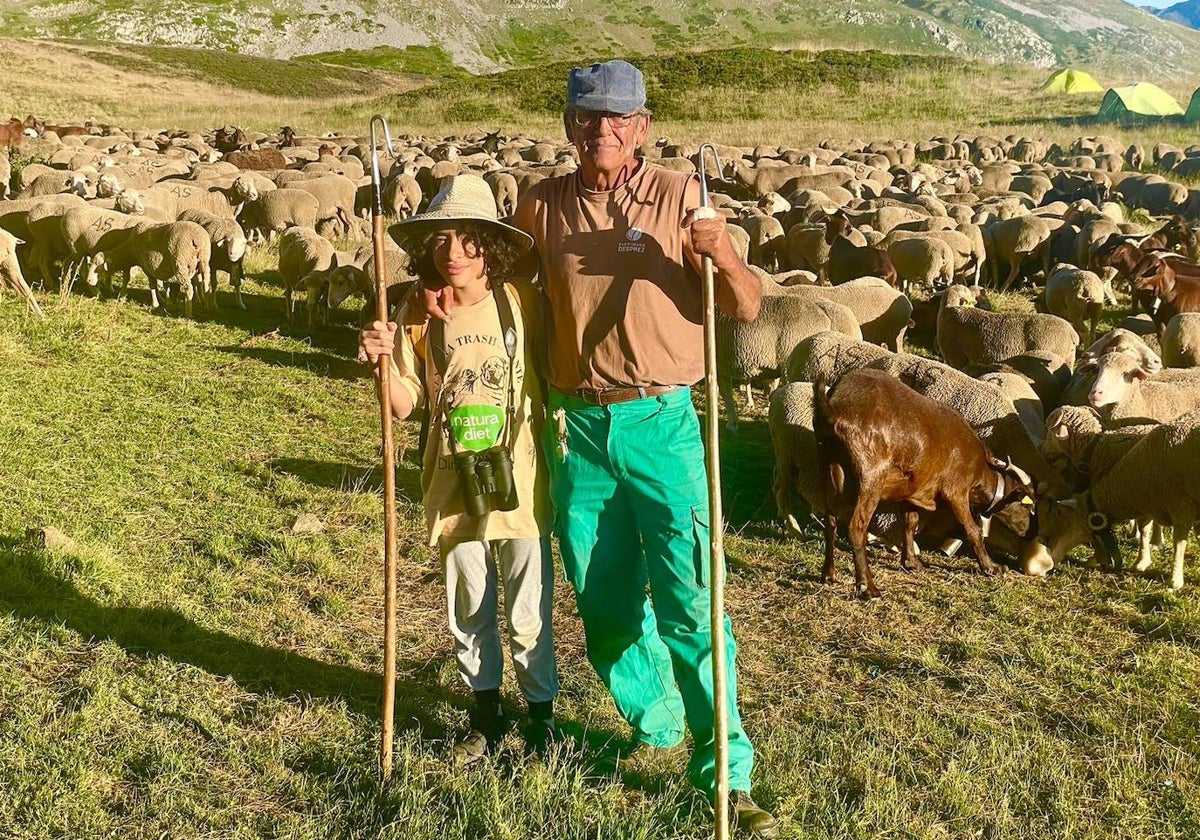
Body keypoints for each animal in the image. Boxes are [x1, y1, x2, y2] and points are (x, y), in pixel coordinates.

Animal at [811, 369, 1036, 600]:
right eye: (1028, 504)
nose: (1032, 531)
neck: (980, 468)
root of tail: (833, 404)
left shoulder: (911, 492)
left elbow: (910, 524)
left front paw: (911, 562)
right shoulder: (956, 491)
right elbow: (973, 529)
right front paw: (991, 567)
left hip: (828, 464)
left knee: (830, 521)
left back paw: (828, 574)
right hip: (871, 476)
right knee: (856, 527)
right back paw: (868, 587)